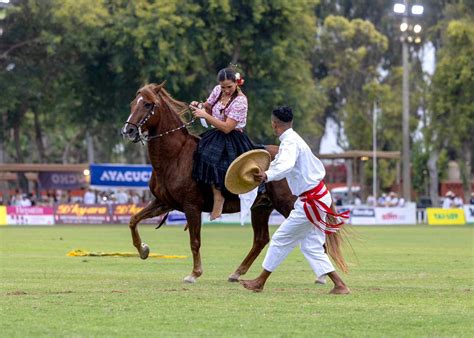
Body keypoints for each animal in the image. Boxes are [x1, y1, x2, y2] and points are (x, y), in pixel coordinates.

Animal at [120, 82, 346, 282]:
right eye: (132, 103)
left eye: (147, 104)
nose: (127, 131)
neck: (176, 156)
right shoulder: (163, 202)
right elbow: (133, 220)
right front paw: (143, 250)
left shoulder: (191, 207)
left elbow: (194, 241)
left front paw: (194, 274)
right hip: (261, 207)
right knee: (261, 239)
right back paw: (237, 273)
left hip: (289, 205)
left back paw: (322, 276)